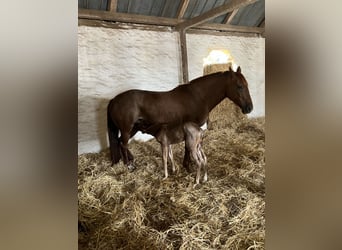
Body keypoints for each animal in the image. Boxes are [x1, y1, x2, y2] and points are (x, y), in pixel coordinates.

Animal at [108, 66, 252, 171]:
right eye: (239, 86)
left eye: (247, 85)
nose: (249, 108)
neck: (198, 97)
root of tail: (114, 100)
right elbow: (188, 147)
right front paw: (188, 166)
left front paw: (187, 164)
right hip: (127, 129)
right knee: (123, 144)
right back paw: (129, 166)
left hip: (133, 128)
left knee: (121, 143)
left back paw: (130, 161)